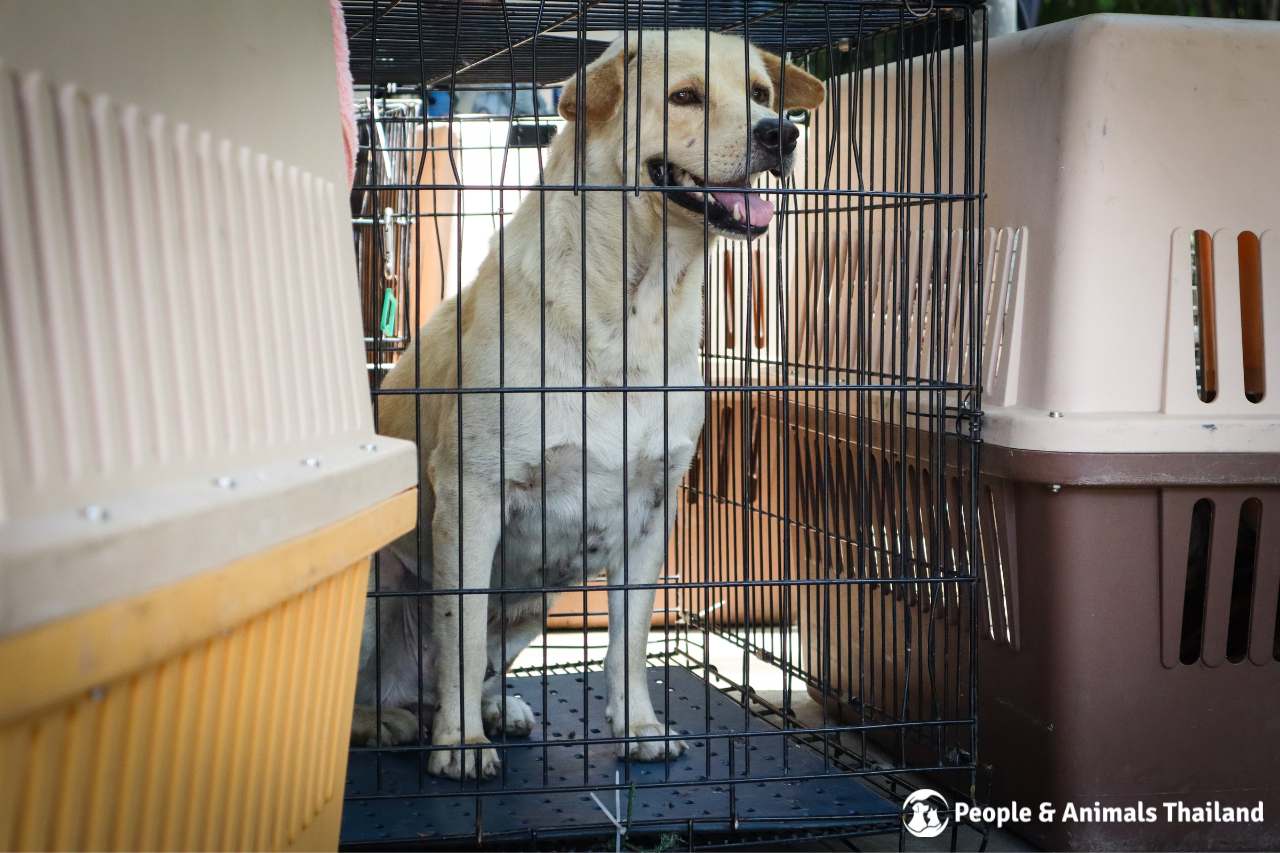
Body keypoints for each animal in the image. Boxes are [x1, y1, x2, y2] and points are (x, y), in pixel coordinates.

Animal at [355, 31, 824, 778]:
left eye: (758, 93)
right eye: (685, 96)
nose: (780, 133)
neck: (634, 306)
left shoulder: (650, 512)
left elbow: (627, 640)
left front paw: (637, 726)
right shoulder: (472, 496)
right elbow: (459, 634)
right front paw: (460, 745)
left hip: (532, 604)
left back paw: (495, 706)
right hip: (380, 586)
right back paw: (396, 720)